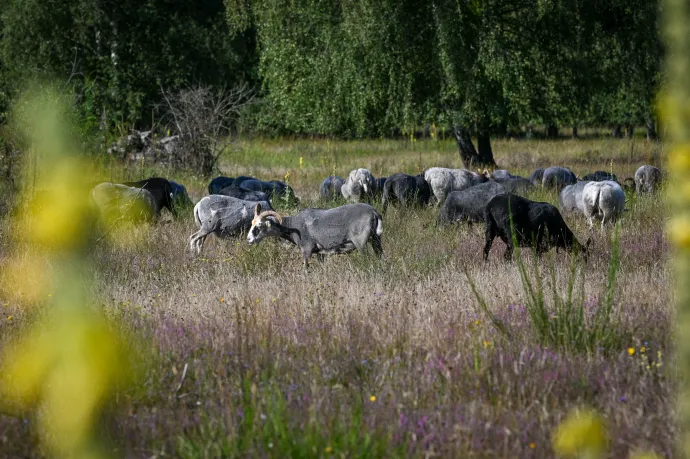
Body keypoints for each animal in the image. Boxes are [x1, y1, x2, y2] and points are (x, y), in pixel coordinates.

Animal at [246, 204, 382, 266]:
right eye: (252, 223)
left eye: (259, 225)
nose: (249, 239)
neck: (292, 225)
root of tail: (373, 212)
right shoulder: (320, 253)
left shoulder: (306, 249)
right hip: (376, 239)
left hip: (360, 242)